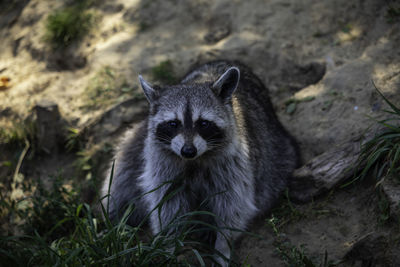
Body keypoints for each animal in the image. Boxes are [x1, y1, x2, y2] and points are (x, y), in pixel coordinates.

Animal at [101, 60, 298, 266]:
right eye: (173, 123)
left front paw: (222, 248)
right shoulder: (162, 162)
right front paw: (168, 245)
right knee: (122, 177)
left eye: (203, 123)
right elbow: (167, 205)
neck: (194, 160)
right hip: (138, 140)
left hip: (277, 152)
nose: (188, 151)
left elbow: (232, 207)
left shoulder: (235, 163)